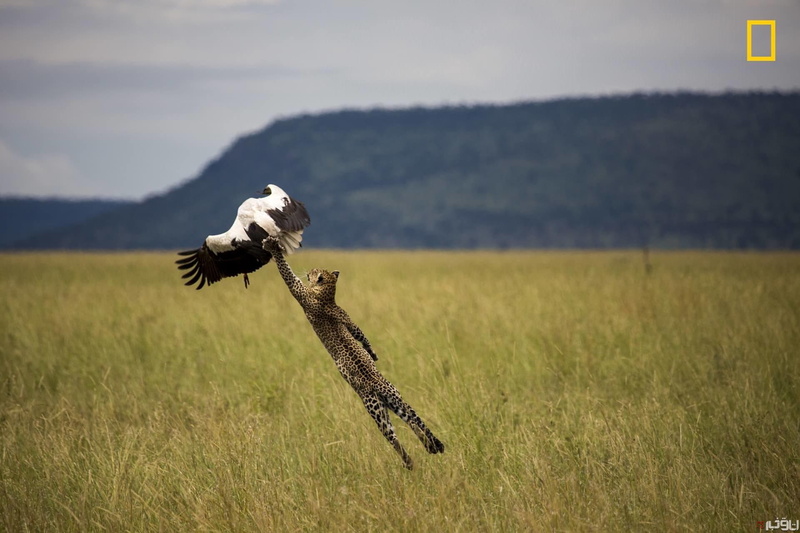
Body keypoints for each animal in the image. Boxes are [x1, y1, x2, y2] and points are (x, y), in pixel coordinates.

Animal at [259, 235, 444, 469]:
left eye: (314, 271)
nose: (309, 270)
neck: (327, 295)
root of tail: (380, 385)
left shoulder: (299, 291)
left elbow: (287, 273)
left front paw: (273, 247)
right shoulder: (347, 318)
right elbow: (358, 332)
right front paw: (373, 354)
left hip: (374, 408)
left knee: (398, 433)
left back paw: (415, 458)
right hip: (391, 402)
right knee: (409, 422)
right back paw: (425, 449)